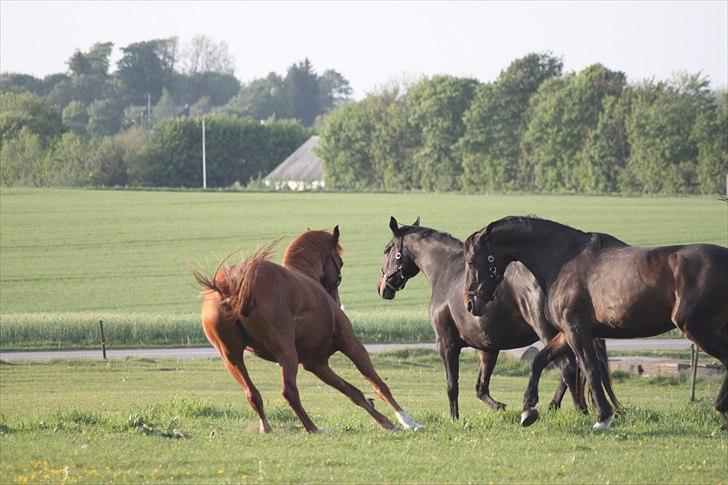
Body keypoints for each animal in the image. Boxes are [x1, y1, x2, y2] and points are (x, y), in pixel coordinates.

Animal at [195, 228, 420, 434]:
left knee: (252, 394)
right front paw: (407, 421)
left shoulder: (316, 364)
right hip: (287, 354)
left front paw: (386, 423)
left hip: (232, 359)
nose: (337, 301)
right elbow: (378, 384)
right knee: (289, 392)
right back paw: (313, 428)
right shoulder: (352, 345)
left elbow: (352, 392)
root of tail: (231, 287)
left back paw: (267, 427)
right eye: (340, 262)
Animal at [378, 216, 616, 420]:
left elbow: (452, 385)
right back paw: (558, 406)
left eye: (387, 249)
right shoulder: (487, 348)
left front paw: (455, 418)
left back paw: (577, 410)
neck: (446, 270)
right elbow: (480, 387)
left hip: (552, 332)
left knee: (568, 368)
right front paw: (499, 406)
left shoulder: (446, 343)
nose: (382, 288)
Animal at [466, 217, 728, 430]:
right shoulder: (567, 332)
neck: (563, 261)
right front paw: (528, 411)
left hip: (696, 328)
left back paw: (721, 409)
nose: (470, 304)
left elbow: (590, 369)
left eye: (471, 261)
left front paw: (603, 417)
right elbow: (539, 360)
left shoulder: (577, 331)